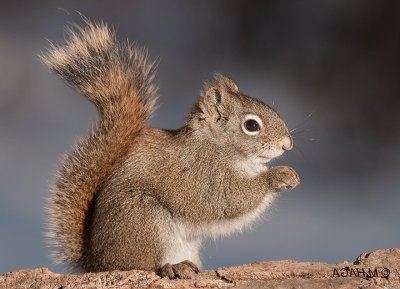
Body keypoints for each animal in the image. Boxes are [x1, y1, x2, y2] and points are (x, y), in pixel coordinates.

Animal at [41, 19, 300, 276]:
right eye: (251, 125)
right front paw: (279, 175)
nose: (287, 144)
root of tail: (98, 263)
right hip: (143, 217)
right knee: (142, 265)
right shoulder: (204, 176)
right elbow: (229, 200)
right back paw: (171, 266)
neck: (219, 147)